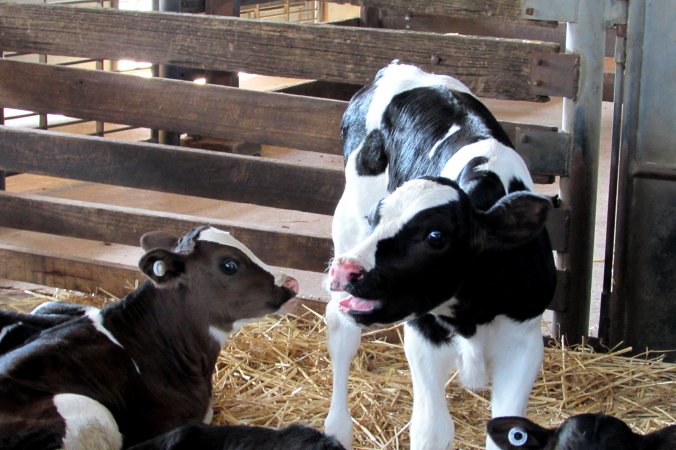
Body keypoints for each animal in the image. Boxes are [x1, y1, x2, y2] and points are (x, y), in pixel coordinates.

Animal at [324, 63, 556, 450]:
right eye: (376, 218)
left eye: (436, 237)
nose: (346, 271)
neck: (472, 313)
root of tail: (398, 68)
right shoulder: (423, 334)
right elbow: (431, 429)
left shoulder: (523, 340)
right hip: (347, 224)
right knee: (341, 327)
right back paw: (336, 429)